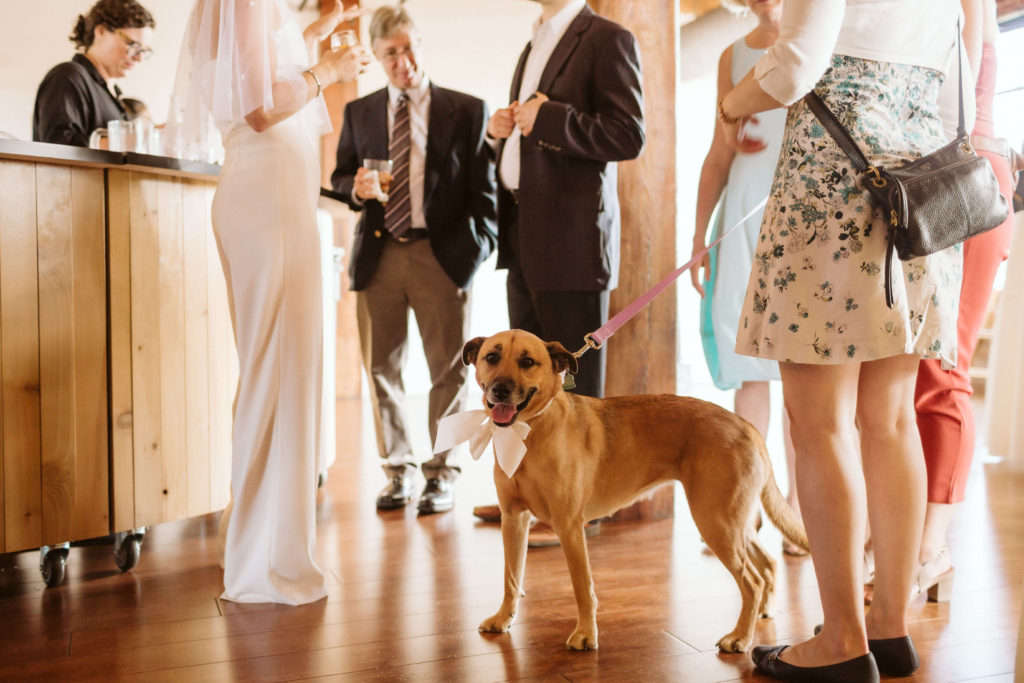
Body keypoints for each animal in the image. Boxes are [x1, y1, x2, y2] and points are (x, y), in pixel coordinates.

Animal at [464, 331, 806, 651]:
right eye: (492, 357)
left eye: (527, 361)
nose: (500, 390)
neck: (529, 431)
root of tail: (746, 426)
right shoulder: (513, 518)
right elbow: (511, 577)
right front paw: (503, 618)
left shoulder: (570, 528)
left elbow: (582, 588)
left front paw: (586, 634)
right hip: (734, 524)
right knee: (768, 565)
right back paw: (764, 612)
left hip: (716, 523)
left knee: (752, 582)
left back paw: (740, 638)